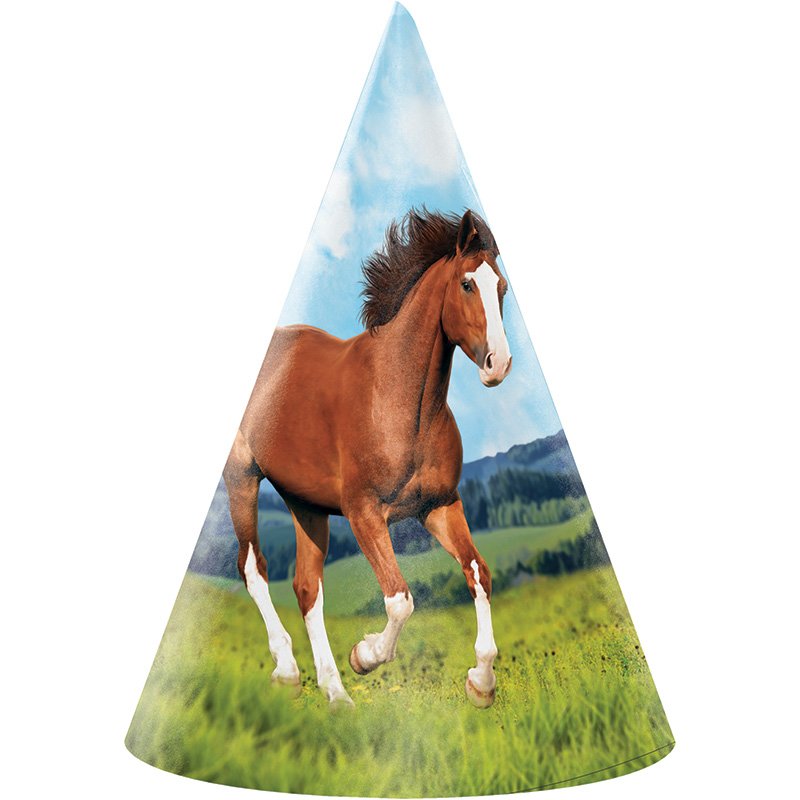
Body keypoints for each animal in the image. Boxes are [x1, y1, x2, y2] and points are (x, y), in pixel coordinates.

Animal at [223, 208, 512, 708]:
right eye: (466, 284)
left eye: (503, 288)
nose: (500, 364)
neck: (398, 401)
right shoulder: (364, 514)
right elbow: (400, 599)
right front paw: (365, 655)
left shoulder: (439, 505)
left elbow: (480, 573)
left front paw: (481, 682)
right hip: (241, 476)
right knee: (253, 569)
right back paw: (288, 672)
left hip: (306, 504)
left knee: (306, 587)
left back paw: (336, 695)